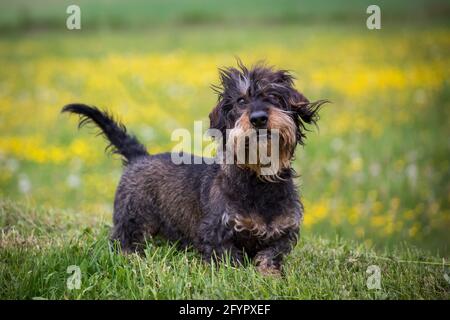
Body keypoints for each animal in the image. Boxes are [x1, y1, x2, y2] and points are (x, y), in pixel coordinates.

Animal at [62, 62, 326, 276]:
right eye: (241, 101)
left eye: (273, 95)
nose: (259, 118)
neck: (258, 180)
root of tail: (140, 157)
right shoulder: (217, 232)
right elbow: (231, 260)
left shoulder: (283, 232)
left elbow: (270, 256)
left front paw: (269, 276)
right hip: (132, 219)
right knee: (125, 243)